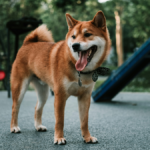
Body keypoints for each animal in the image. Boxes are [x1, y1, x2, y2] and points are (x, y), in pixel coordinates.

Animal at [10, 10, 110, 144]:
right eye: (73, 37)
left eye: (88, 34)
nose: (75, 45)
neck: (79, 71)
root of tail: (28, 43)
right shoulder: (60, 96)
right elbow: (60, 121)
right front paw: (59, 138)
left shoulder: (85, 97)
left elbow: (84, 121)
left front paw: (87, 137)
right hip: (20, 88)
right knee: (15, 108)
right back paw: (14, 127)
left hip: (44, 93)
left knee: (37, 108)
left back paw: (38, 126)